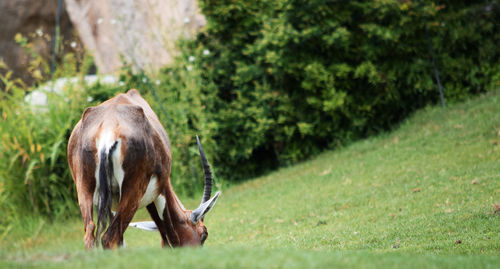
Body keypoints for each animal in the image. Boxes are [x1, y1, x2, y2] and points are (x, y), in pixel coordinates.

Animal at [67, 89, 220, 248]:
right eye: (204, 234)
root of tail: (108, 130)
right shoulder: (160, 191)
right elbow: (167, 233)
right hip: (133, 193)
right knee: (110, 238)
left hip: (85, 191)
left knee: (90, 235)